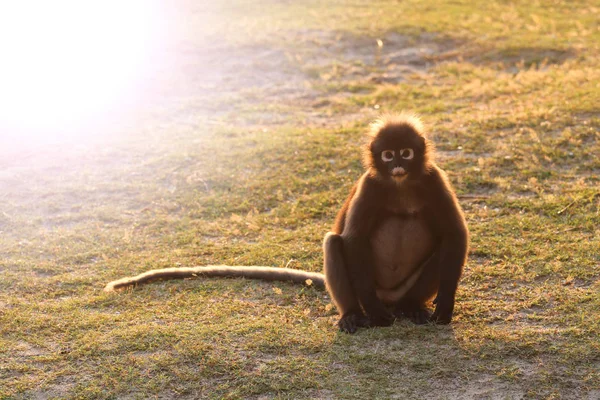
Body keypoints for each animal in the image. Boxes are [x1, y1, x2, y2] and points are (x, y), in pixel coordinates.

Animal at [103, 115, 468, 334]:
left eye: (406, 153)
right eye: (388, 155)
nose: (397, 167)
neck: (401, 186)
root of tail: (390, 296)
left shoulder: (434, 179)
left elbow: (455, 235)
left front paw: (445, 306)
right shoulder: (370, 185)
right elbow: (353, 240)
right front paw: (374, 315)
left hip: (409, 286)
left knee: (442, 249)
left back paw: (411, 307)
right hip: (369, 285)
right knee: (335, 243)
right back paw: (355, 313)